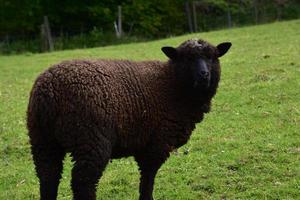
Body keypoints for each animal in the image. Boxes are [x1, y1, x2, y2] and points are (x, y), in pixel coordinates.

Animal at [27, 38, 231, 199]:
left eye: (212, 57)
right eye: (187, 58)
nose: (204, 75)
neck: (172, 84)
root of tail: (50, 90)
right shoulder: (157, 142)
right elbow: (148, 177)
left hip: (42, 140)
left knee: (48, 177)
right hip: (90, 140)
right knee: (83, 182)